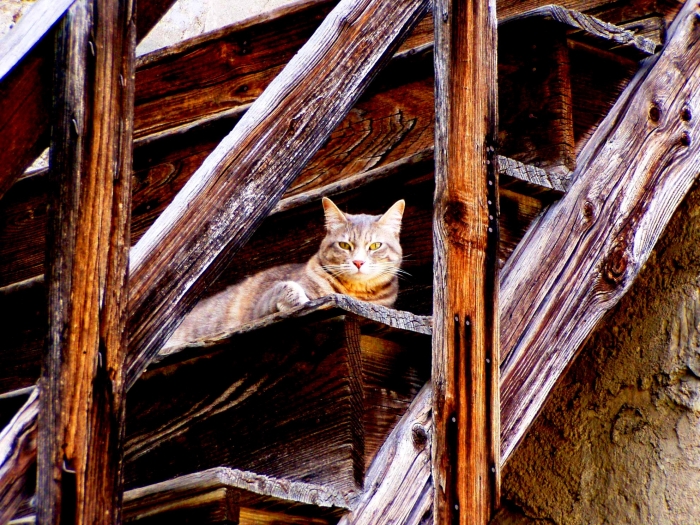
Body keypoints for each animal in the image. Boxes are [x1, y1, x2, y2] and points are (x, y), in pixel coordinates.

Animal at [165, 196, 404, 348]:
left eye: (375, 246)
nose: (358, 262)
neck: (354, 291)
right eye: (345, 245)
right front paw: (298, 298)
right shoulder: (263, 305)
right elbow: (288, 287)